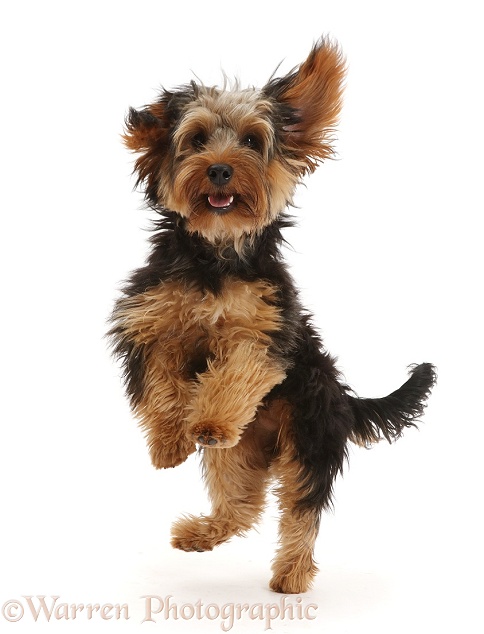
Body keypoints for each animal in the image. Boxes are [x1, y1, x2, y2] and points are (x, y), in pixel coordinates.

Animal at [108, 38, 434, 592]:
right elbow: (162, 382)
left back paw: (292, 575)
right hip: (241, 453)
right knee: (243, 503)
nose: (220, 168)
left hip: (308, 433)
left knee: (301, 509)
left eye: (251, 141)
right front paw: (170, 443)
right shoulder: (151, 321)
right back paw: (200, 533)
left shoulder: (267, 333)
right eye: (196, 139)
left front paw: (211, 417)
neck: (217, 257)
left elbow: (238, 370)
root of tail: (343, 398)